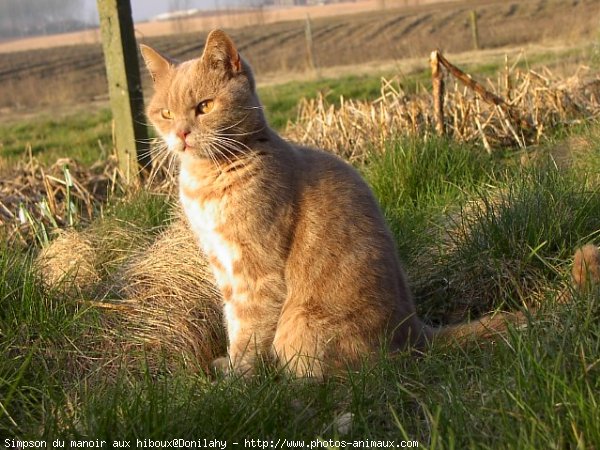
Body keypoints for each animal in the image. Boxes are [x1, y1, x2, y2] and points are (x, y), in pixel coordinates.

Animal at [139, 29, 596, 378]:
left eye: (204, 107)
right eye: (165, 113)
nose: (181, 134)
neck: (206, 180)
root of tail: (415, 332)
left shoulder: (254, 272)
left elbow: (249, 334)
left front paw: (238, 384)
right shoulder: (223, 269)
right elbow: (234, 325)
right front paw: (228, 369)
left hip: (303, 327)